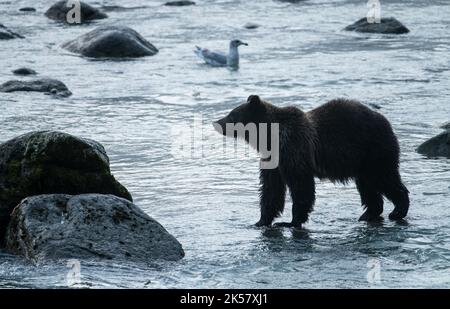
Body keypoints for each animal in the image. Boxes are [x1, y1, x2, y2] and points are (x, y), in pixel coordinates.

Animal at [213, 94, 410, 226]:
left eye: (232, 115)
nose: (217, 122)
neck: (270, 138)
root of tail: (386, 121)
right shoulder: (273, 159)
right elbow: (271, 189)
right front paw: (261, 220)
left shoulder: (294, 149)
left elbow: (301, 186)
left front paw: (291, 221)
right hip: (361, 161)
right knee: (368, 187)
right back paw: (369, 214)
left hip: (373, 150)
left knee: (385, 178)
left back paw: (398, 210)